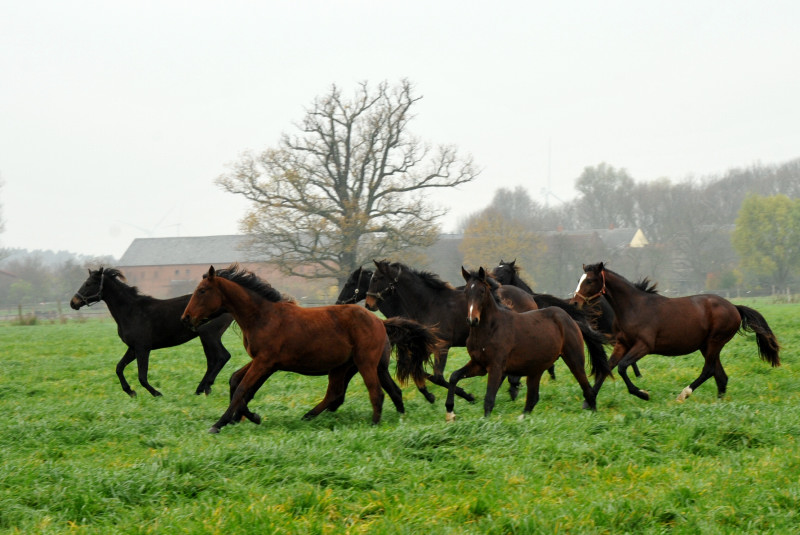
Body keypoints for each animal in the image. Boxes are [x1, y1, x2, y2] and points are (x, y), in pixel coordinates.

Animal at [70, 268, 234, 398]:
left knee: (223, 356)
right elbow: (119, 368)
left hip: (210, 335)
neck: (131, 311)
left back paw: (205, 387)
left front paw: (157, 393)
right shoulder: (133, 348)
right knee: (212, 361)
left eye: (89, 284)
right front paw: (130, 392)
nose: (73, 302)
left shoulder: (143, 348)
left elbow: (142, 377)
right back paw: (202, 389)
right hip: (206, 338)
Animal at [181, 266, 438, 434]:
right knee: (360, 392)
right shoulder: (263, 361)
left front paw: (218, 424)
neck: (263, 316)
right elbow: (237, 382)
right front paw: (251, 417)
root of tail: (380, 322)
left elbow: (243, 388)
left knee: (375, 393)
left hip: (364, 363)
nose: (186, 318)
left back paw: (374, 424)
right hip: (355, 366)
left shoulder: (264, 362)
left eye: (202, 291)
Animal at [446, 268, 608, 422]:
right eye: (466, 292)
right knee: (532, 398)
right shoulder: (478, 364)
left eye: (482, 291)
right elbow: (454, 376)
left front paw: (485, 424)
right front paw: (450, 412)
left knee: (588, 390)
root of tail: (571, 321)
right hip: (536, 369)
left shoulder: (496, 367)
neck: (491, 328)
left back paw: (594, 417)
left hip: (574, 360)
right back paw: (522, 419)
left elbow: (489, 399)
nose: (472, 320)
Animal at [576, 264, 780, 402]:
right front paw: (589, 400)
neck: (634, 307)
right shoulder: (622, 343)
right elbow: (608, 366)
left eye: (589, 280)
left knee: (709, 370)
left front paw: (643, 394)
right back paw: (719, 401)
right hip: (706, 345)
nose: (575, 302)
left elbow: (622, 367)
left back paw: (684, 394)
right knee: (721, 376)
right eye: (580, 279)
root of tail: (734, 307)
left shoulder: (644, 345)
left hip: (715, 341)